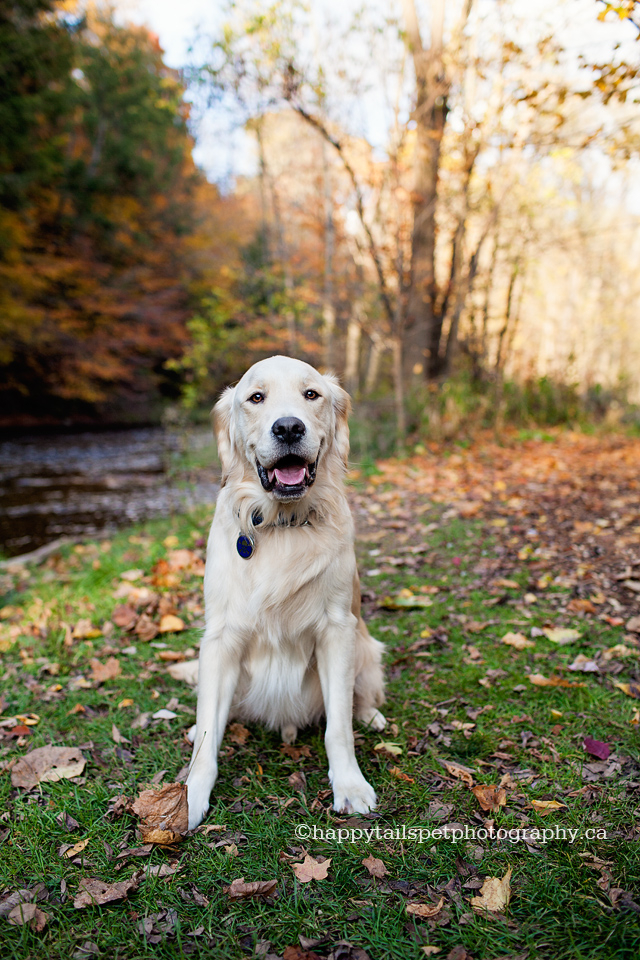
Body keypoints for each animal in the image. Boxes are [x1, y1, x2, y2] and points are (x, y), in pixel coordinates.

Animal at [185, 356, 384, 828]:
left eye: (311, 394)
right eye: (256, 398)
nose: (289, 427)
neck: (282, 523)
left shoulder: (338, 630)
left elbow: (338, 728)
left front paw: (350, 785)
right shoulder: (219, 639)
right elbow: (208, 733)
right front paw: (190, 795)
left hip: (366, 648)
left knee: (361, 695)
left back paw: (371, 714)